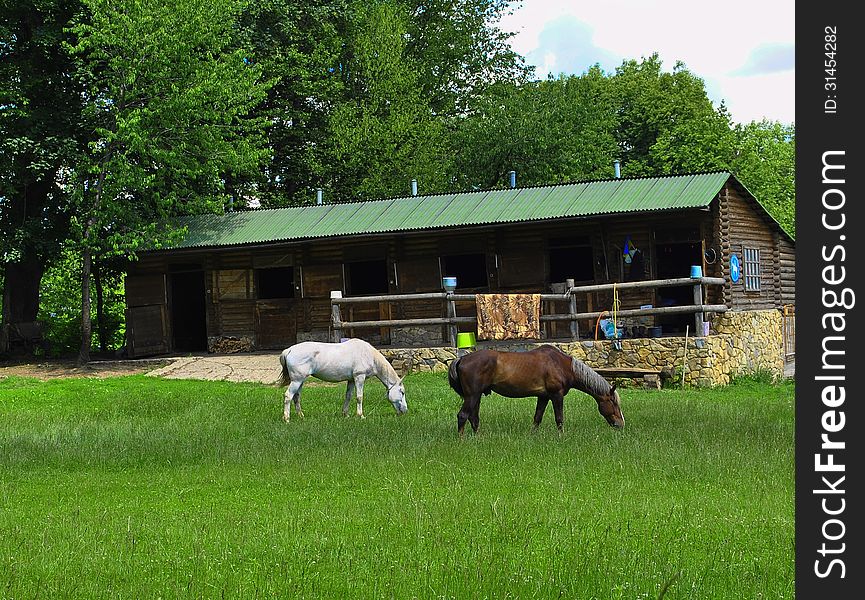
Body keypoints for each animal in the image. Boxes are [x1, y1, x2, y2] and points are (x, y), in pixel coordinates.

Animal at [280, 338, 408, 422]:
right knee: (288, 396)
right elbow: (359, 397)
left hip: (300, 381)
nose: (405, 411)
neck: (369, 355)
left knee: (296, 397)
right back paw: (287, 419)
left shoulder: (351, 380)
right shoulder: (359, 377)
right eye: (402, 392)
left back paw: (301, 416)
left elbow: (348, 396)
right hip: (297, 381)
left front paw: (345, 414)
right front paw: (360, 415)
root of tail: (289, 350)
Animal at [448, 344, 624, 434]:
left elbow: (537, 418)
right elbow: (559, 418)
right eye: (614, 403)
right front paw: (561, 437)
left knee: (474, 418)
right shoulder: (556, 395)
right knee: (463, 415)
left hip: (476, 396)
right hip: (472, 395)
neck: (561, 364)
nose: (621, 424)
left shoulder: (544, 397)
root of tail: (462, 358)